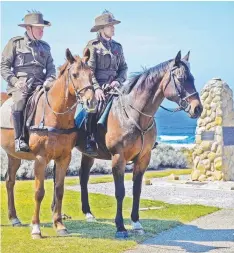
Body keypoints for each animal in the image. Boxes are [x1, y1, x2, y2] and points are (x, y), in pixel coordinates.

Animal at [0, 49, 96, 239]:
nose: (91, 101)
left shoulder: (64, 158)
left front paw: (59, 225)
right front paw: (36, 228)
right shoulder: (40, 159)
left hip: (14, 155)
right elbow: (39, 192)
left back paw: (14, 218)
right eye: (75, 74)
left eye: (91, 74)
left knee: (9, 181)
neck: (55, 115)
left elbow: (59, 190)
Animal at [52, 49, 202, 237]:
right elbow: (120, 192)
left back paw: (88, 213)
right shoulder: (119, 158)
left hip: (88, 154)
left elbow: (137, 190)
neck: (133, 115)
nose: (198, 108)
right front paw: (120, 227)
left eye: (193, 79)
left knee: (83, 177)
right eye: (181, 79)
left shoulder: (143, 159)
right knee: (57, 175)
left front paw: (136, 222)